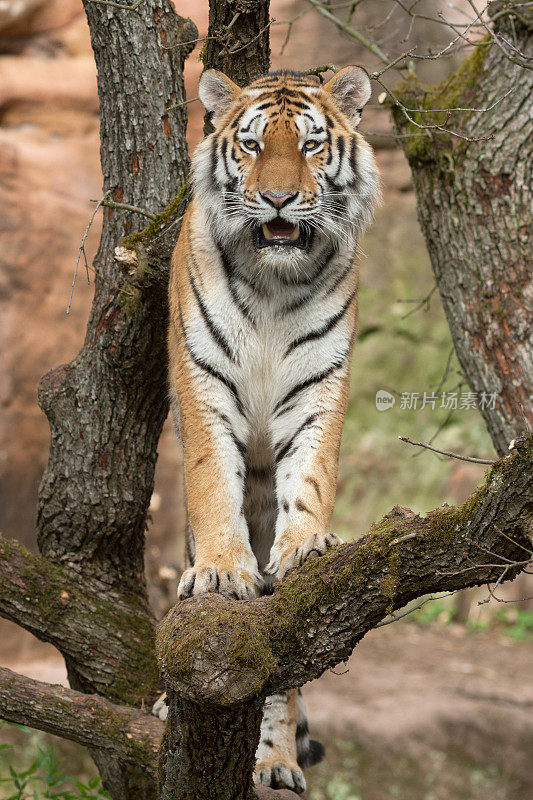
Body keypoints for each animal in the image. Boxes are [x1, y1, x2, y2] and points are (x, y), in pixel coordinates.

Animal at [152, 65, 380, 792]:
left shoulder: (317, 387)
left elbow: (309, 478)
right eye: (252, 146)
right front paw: (224, 572)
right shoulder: (203, 381)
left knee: (282, 672)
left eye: (309, 146)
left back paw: (273, 761)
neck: (274, 284)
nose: (277, 198)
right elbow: (211, 485)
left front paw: (305, 544)